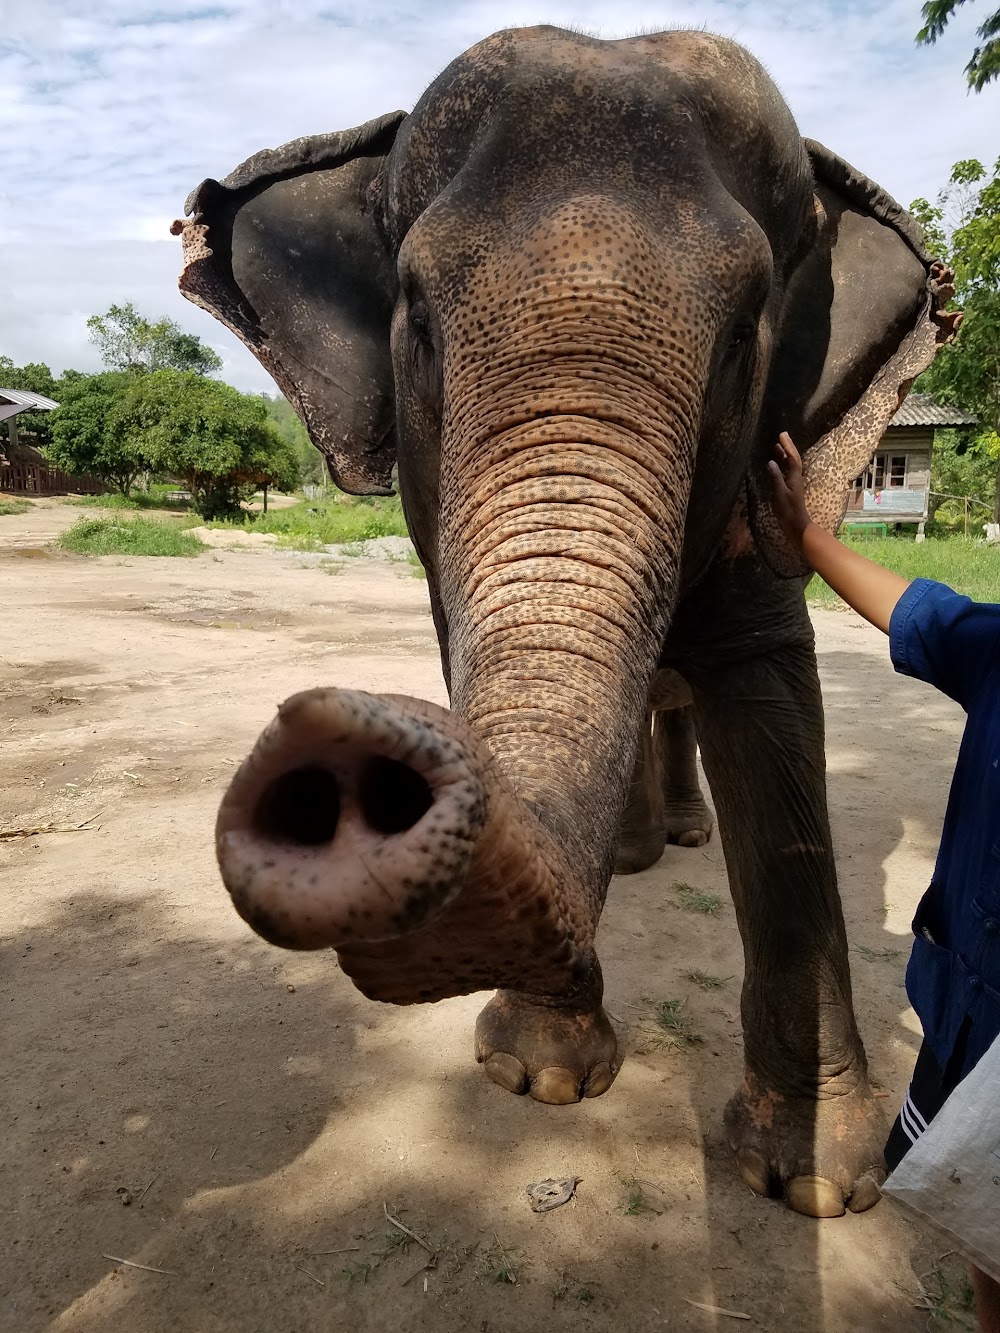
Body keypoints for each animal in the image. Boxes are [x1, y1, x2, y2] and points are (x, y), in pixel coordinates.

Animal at [174, 28, 965, 1221]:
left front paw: (820, 1183)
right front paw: (540, 1075)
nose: (341, 757)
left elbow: (773, 711)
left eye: (743, 338)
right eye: (416, 318)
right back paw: (636, 857)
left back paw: (677, 840)